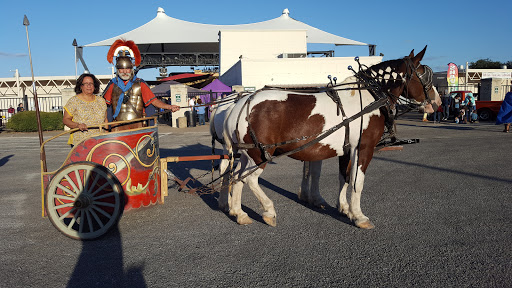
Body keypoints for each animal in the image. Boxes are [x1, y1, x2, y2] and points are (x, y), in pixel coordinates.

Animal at [222, 47, 442, 230]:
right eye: (424, 75)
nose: (437, 103)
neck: (369, 97)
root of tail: (239, 104)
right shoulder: (363, 148)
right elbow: (357, 182)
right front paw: (359, 216)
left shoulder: (347, 149)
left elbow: (344, 177)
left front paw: (344, 208)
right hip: (260, 154)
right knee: (249, 179)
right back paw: (269, 211)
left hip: (247, 154)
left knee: (237, 177)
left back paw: (239, 214)